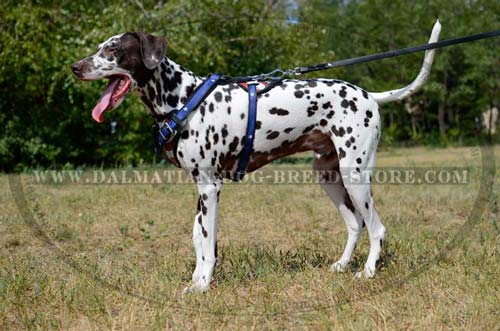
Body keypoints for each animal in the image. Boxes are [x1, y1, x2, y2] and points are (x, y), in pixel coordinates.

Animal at [71, 21, 442, 294]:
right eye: (101, 47)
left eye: (113, 49)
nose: (75, 67)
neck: (183, 97)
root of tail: (370, 96)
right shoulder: (200, 190)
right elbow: (198, 238)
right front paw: (195, 281)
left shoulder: (210, 188)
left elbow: (207, 243)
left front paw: (203, 285)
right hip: (329, 177)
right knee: (355, 223)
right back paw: (340, 266)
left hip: (356, 176)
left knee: (377, 228)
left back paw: (367, 272)